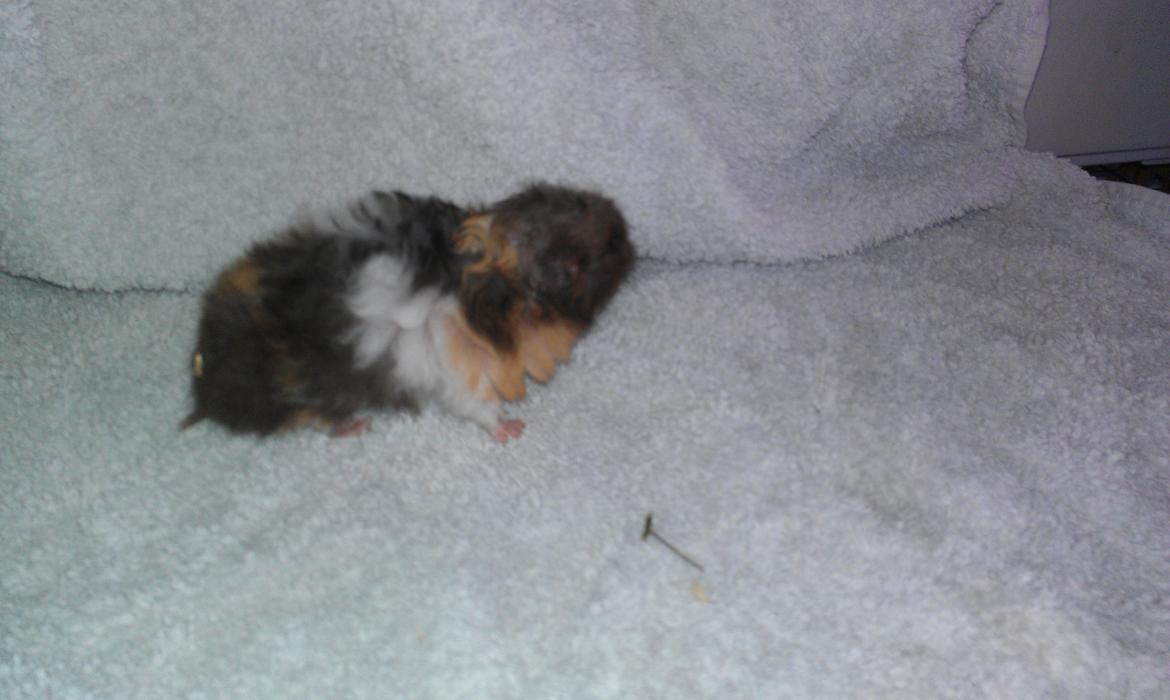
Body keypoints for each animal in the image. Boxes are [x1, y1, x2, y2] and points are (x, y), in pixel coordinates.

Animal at [181, 183, 634, 443]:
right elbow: (477, 406)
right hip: (301, 395)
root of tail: (204, 381)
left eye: (580, 199)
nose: (629, 235)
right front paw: (512, 431)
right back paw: (355, 427)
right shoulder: (458, 367)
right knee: (310, 417)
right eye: (613, 247)